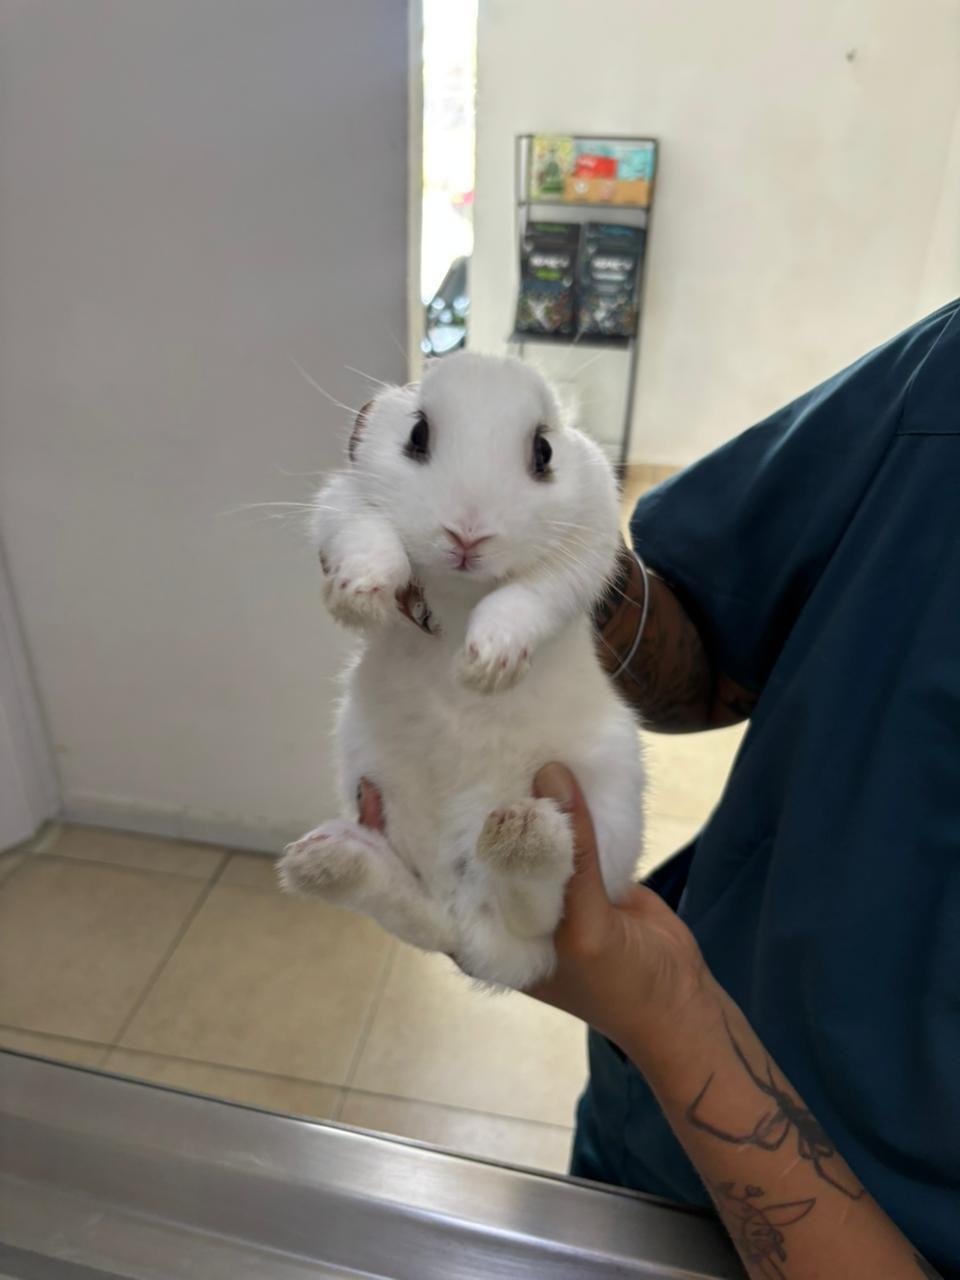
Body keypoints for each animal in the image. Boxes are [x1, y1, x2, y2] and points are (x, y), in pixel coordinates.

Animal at [277, 351, 645, 990]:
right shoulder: (345, 502)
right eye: (417, 435)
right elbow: (369, 540)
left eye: (544, 451)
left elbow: (526, 599)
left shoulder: (584, 551)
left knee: (541, 916)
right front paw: (358, 599)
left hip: (608, 810)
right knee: (424, 916)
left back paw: (523, 837)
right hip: (375, 783)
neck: (458, 588)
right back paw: (331, 862)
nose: (467, 534)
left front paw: (487, 666)